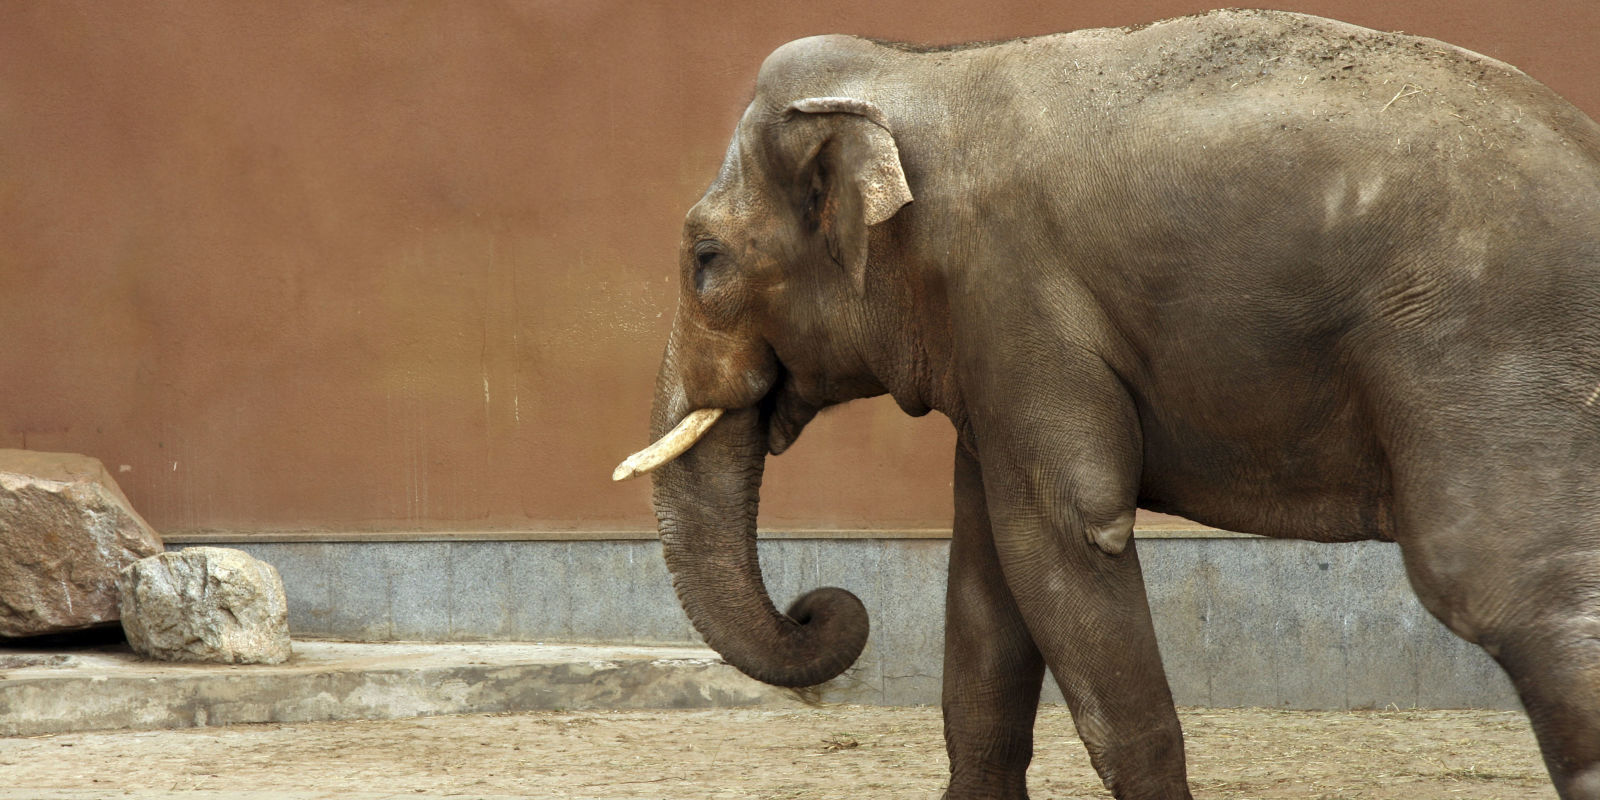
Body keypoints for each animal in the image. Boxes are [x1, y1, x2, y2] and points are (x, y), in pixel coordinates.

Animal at [614, 9, 1600, 799]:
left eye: (704, 261)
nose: (821, 606)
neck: (920, 69)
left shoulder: (1016, 295)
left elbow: (1067, 528)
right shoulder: (991, 350)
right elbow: (985, 572)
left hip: (1479, 338)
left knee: (1500, 581)